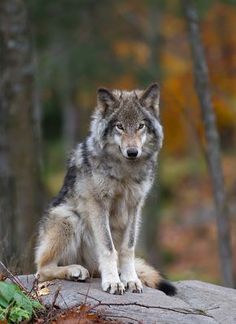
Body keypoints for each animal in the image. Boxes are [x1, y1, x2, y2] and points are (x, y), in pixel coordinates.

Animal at [34, 83, 175, 296]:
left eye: (140, 126)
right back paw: (75, 271)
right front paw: (113, 282)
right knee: (41, 271)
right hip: (69, 217)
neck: (125, 171)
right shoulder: (98, 204)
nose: (132, 152)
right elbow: (109, 249)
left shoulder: (135, 206)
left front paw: (130, 279)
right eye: (120, 126)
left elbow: (127, 248)